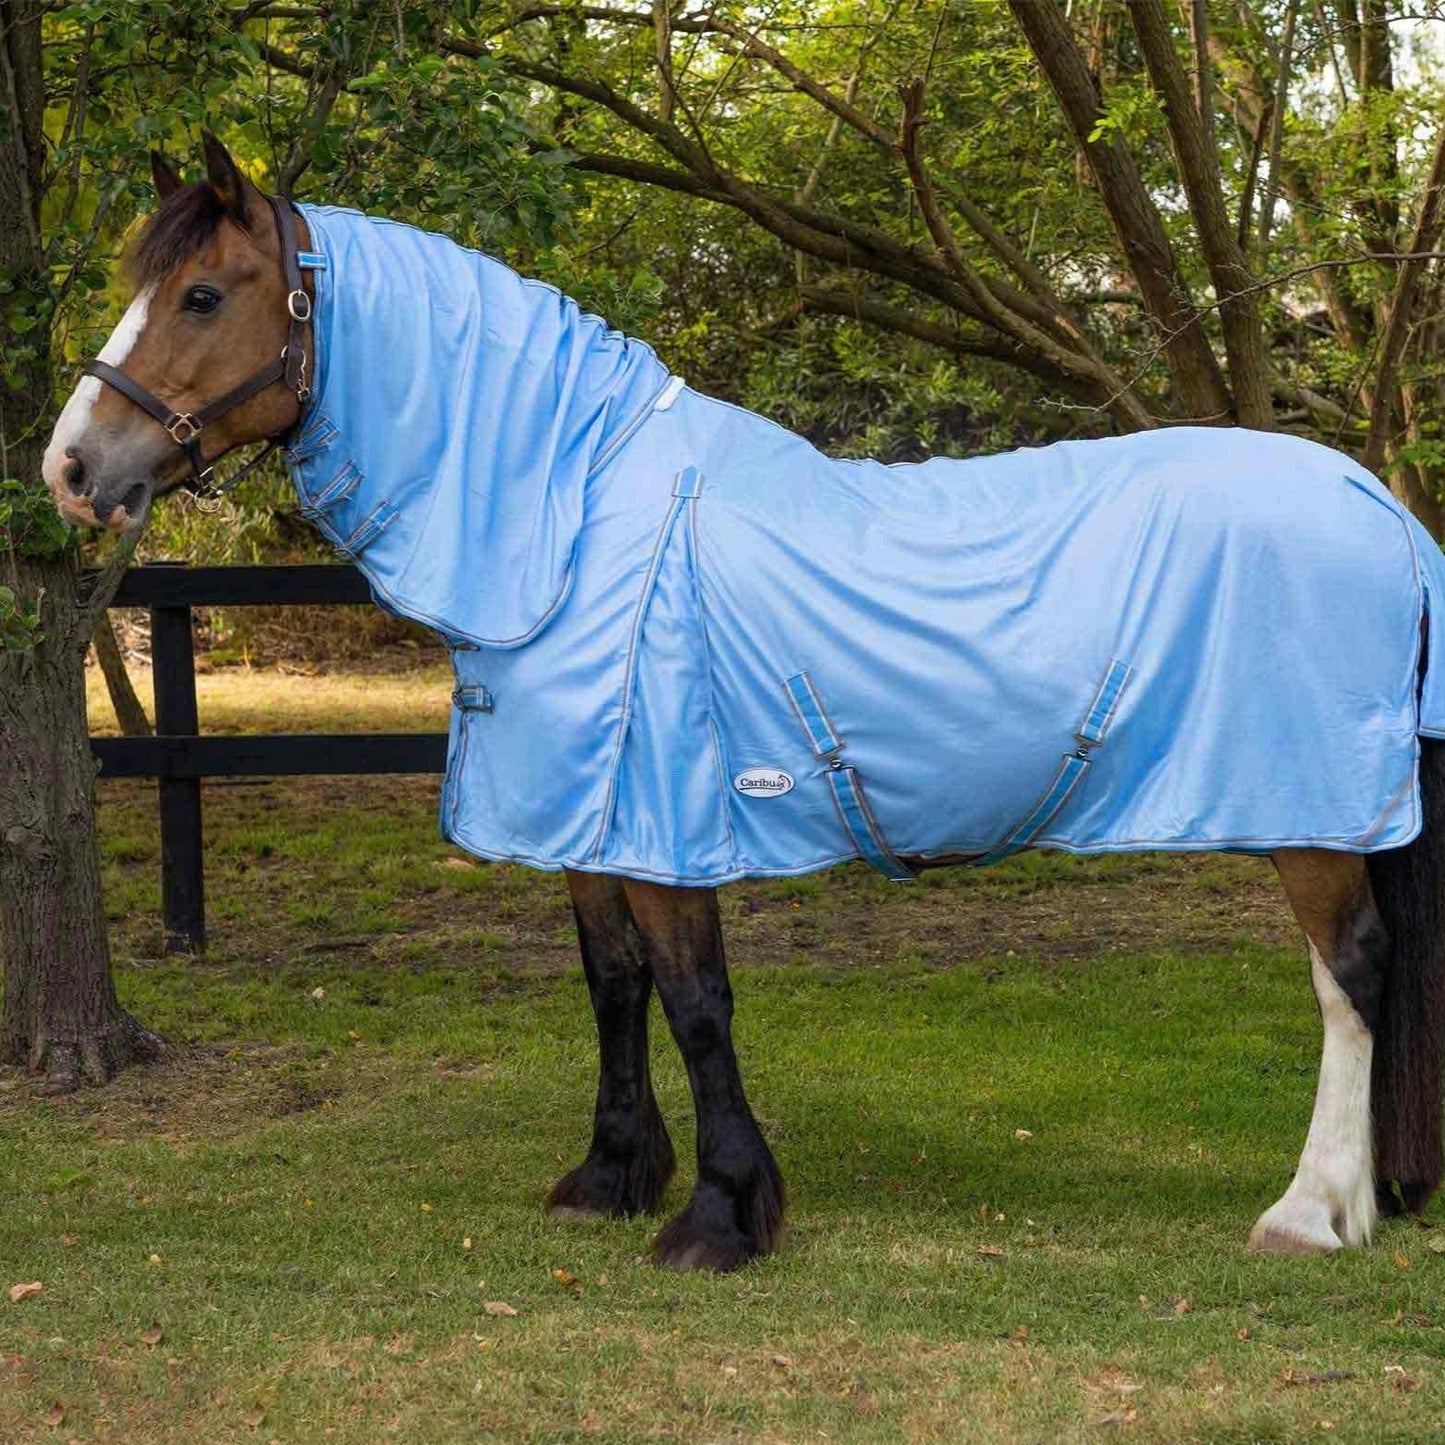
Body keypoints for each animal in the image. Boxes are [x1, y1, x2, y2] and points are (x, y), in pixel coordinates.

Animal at [44, 133, 1445, 1271]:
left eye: (202, 294)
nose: (71, 466)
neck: (575, 510)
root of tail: (1371, 500)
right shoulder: (589, 815)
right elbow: (612, 984)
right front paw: (610, 1172)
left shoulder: (666, 816)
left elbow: (694, 998)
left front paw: (720, 1212)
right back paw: (1364, 1196)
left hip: (1305, 812)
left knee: (1351, 975)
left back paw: (1308, 1212)